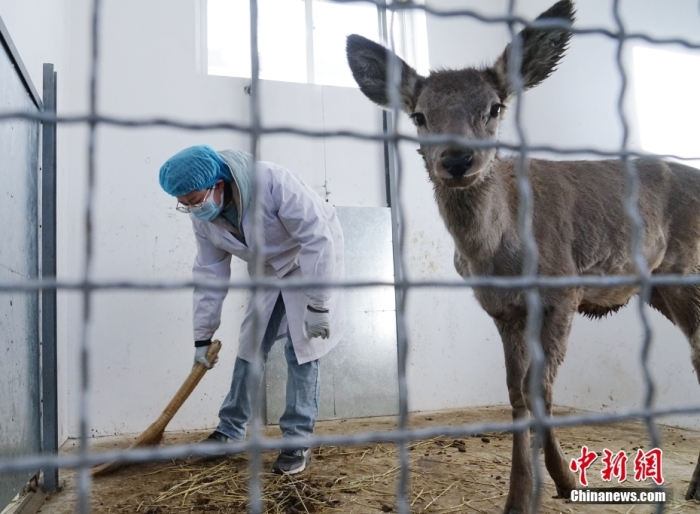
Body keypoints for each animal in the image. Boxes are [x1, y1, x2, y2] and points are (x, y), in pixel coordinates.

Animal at [346, 1, 700, 512]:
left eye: (494, 108)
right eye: (419, 115)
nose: (457, 159)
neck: (498, 257)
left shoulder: (562, 290)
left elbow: (540, 389)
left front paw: (540, 488)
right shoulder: (502, 309)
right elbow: (519, 393)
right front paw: (548, 485)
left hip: (687, 271)